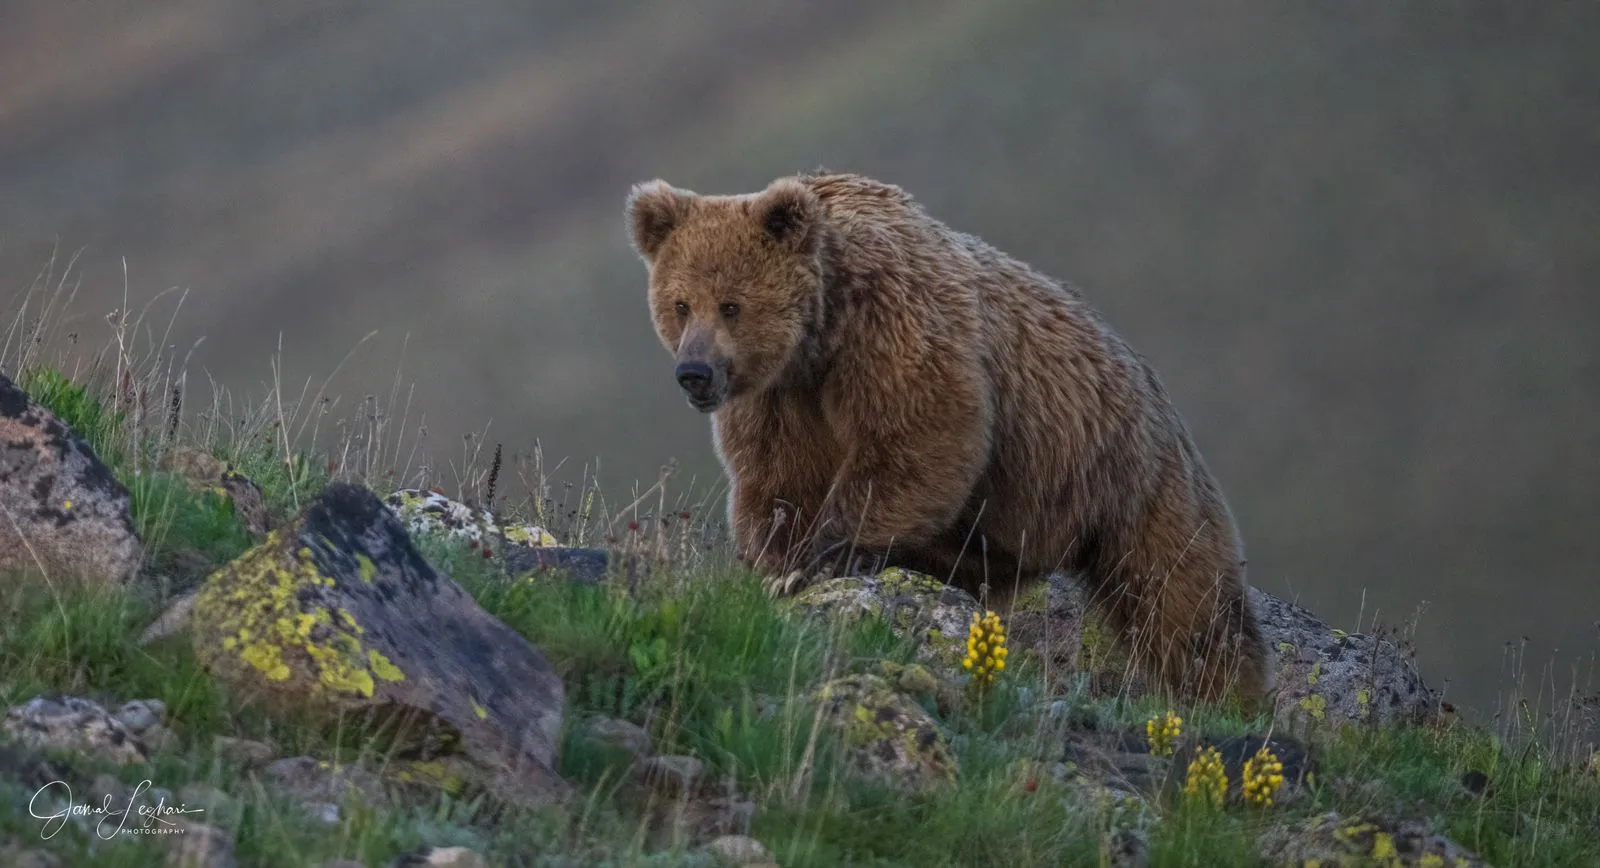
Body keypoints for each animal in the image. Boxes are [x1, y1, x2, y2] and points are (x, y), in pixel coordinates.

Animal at [624, 169, 1260, 707]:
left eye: (731, 304)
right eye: (680, 304)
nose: (694, 373)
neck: (820, 336)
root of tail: (1149, 381)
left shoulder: (892, 327)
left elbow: (919, 432)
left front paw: (825, 554)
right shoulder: (778, 398)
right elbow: (778, 480)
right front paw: (779, 562)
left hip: (1127, 476)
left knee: (1182, 600)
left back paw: (1232, 696)